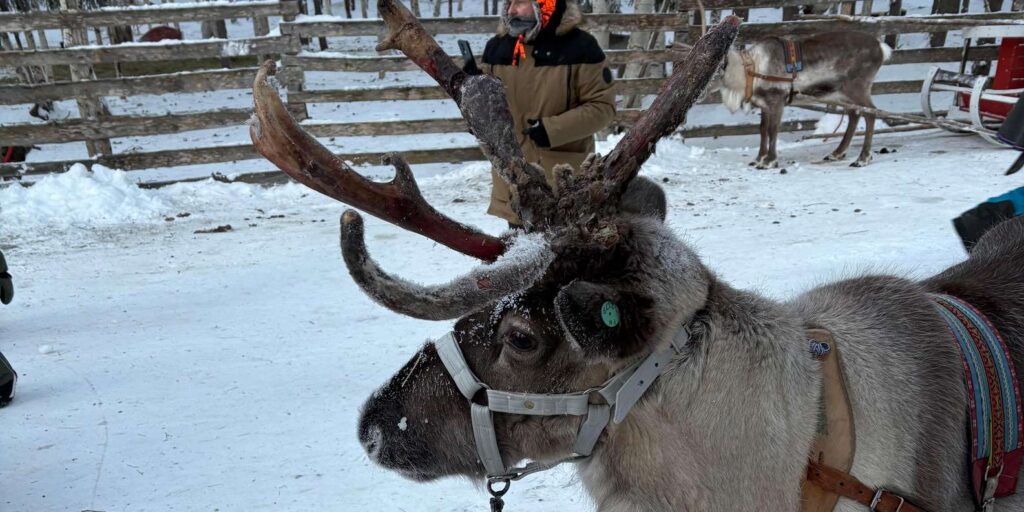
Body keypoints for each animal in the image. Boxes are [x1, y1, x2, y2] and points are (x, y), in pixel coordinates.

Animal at [679, 32, 892, 169]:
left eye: (712, 70)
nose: (696, 93)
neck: (750, 72)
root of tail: (882, 48)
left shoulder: (777, 101)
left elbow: (773, 130)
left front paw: (769, 161)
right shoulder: (764, 105)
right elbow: (763, 130)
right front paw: (758, 158)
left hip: (857, 88)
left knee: (870, 114)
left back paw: (862, 158)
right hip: (841, 92)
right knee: (855, 114)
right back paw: (837, 153)